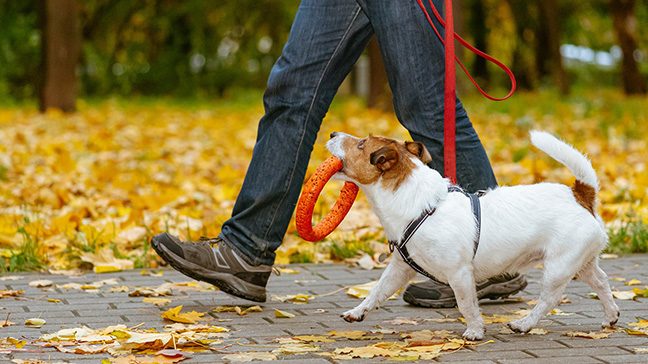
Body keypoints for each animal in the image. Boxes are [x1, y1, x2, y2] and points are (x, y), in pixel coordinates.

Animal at [326, 132, 620, 342]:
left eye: (361, 143)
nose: (331, 133)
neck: (419, 204)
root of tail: (580, 194)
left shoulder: (459, 274)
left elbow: (467, 305)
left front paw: (475, 331)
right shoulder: (400, 269)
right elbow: (377, 291)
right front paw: (357, 312)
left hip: (559, 267)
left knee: (550, 300)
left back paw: (524, 324)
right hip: (582, 264)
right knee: (602, 282)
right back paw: (611, 316)